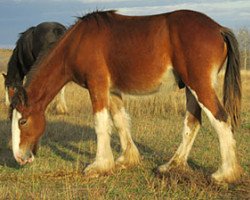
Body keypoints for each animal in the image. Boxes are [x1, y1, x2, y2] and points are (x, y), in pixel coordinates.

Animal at [9, 10, 242, 184]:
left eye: (23, 121)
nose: (19, 158)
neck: (78, 42)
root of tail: (219, 29)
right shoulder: (112, 90)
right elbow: (120, 121)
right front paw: (126, 159)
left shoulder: (97, 86)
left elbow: (101, 124)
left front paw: (99, 166)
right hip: (191, 88)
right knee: (193, 122)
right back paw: (171, 165)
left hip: (199, 85)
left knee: (220, 119)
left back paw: (225, 174)